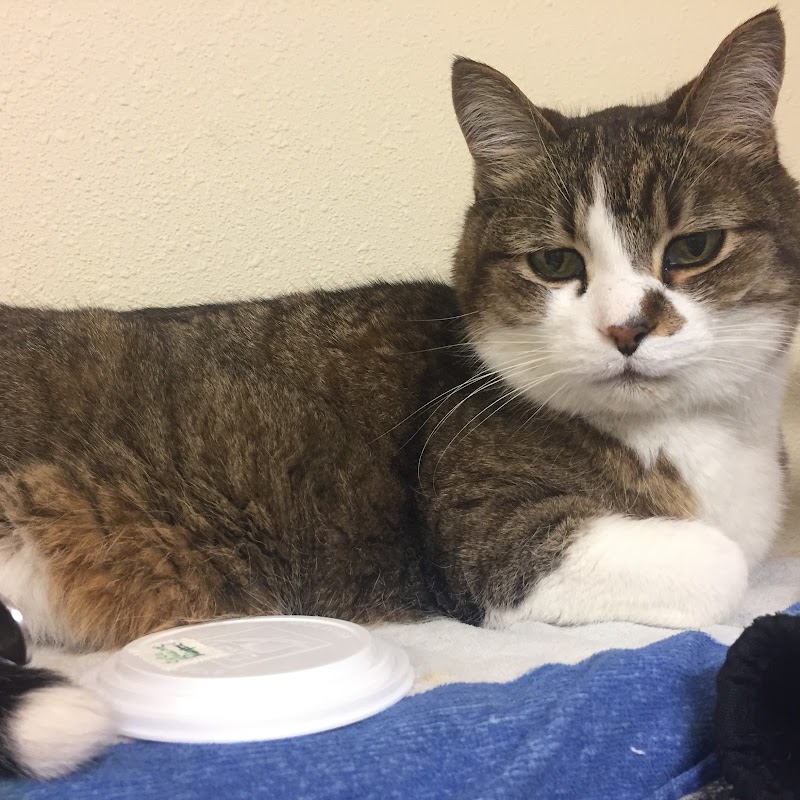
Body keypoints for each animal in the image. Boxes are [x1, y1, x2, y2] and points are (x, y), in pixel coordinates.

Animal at [0, 7, 797, 781]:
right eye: (554, 262)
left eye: (693, 248)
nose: (625, 328)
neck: (689, 433)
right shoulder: (491, 539)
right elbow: (721, 561)